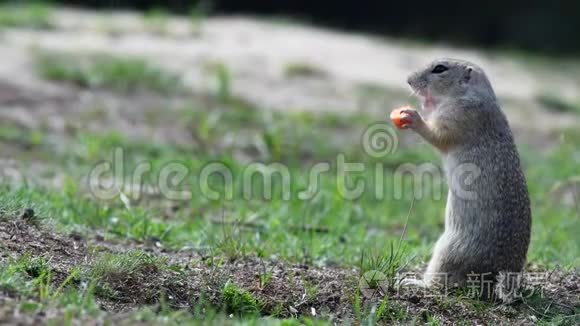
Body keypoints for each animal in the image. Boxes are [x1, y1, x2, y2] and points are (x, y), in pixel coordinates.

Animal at [402, 58, 532, 298]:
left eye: (440, 69)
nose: (408, 80)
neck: (468, 93)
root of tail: (504, 271)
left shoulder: (459, 116)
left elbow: (439, 135)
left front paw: (413, 117)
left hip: (447, 251)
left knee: (440, 284)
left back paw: (413, 283)